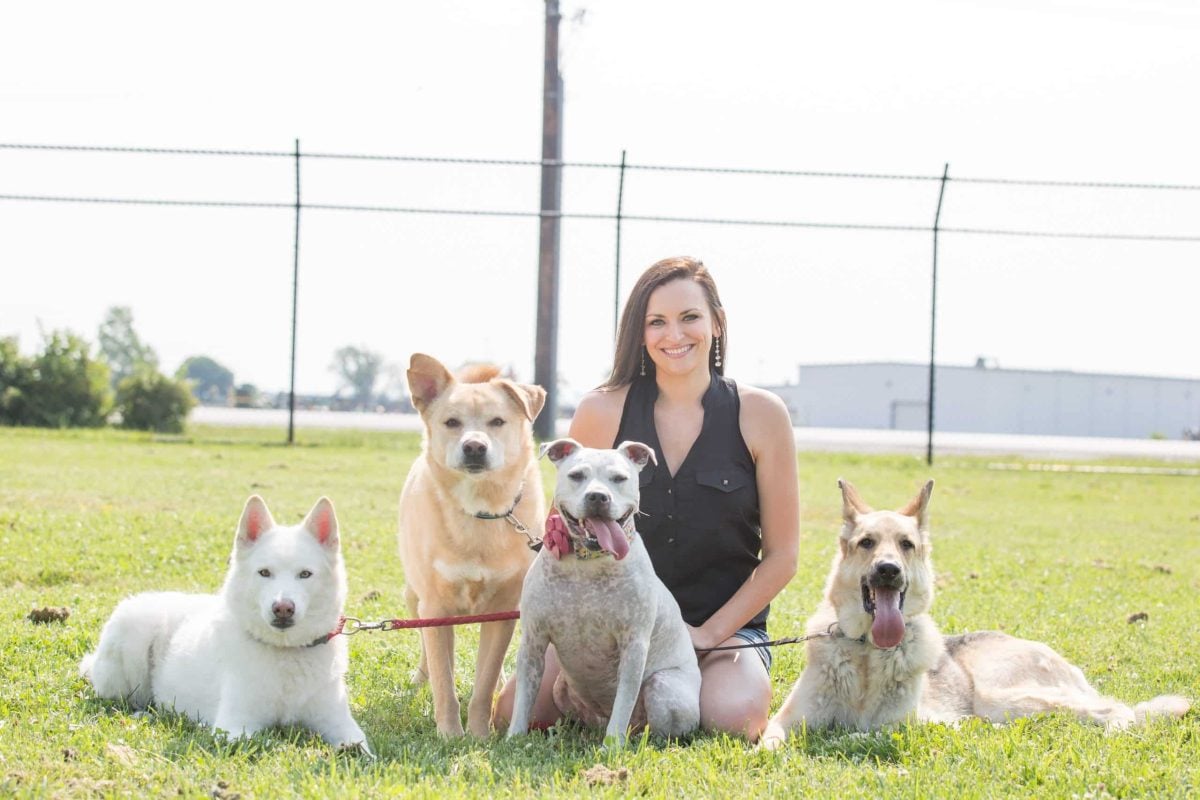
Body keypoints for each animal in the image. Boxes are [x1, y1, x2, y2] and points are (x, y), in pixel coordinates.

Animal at [78, 496, 367, 753]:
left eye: (305, 574)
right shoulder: (233, 727)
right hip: (130, 647)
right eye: (264, 573)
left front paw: (348, 751)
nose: (283, 608)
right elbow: (271, 743)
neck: (286, 652)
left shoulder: (338, 721)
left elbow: (359, 743)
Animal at [398, 355, 549, 738]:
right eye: (452, 422)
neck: (481, 509)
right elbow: (443, 681)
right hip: (413, 596)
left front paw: (479, 734)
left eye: (497, 422)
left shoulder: (503, 611)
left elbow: (484, 682)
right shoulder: (435, 608)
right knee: (429, 653)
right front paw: (450, 734)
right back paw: (419, 680)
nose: (475, 447)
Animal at [501, 438, 700, 743]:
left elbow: (624, 701)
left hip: (664, 687)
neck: (587, 564)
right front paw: (514, 738)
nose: (597, 497)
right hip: (561, 686)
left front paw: (612, 745)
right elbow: (523, 698)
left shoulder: (633, 646)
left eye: (619, 478)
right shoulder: (533, 640)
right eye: (576, 475)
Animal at [763, 479, 1185, 748]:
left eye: (906, 545)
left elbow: (857, 734)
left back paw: (1115, 731)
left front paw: (834, 739)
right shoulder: (785, 722)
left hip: (1003, 697)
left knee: (1117, 709)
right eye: (866, 543)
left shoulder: (907, 724)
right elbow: (769, 740)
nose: (888, 570)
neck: (867, 650)